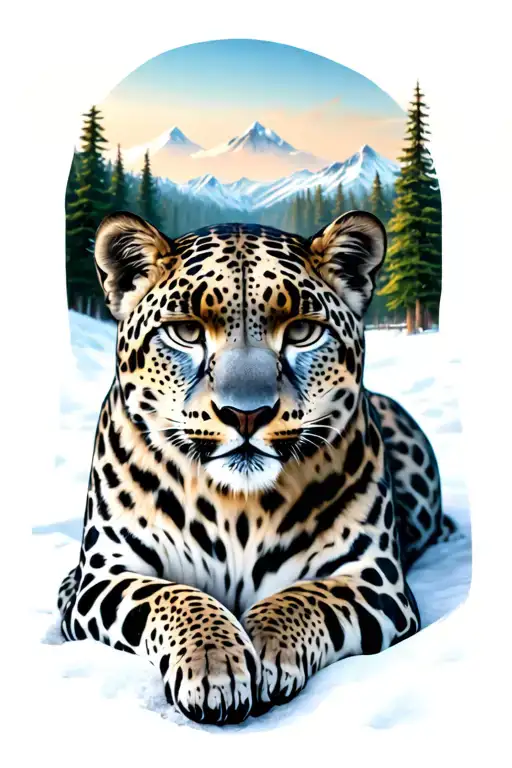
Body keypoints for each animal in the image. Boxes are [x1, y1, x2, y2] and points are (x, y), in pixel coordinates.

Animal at [58, 209, 454, 725]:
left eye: (302, 331)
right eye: (186, 332)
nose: (246, 413)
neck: (237, 506)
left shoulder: (375, 578)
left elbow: (307, 599)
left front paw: (266, 651)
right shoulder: (102, 575)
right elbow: (170, 597)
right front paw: (215, 664)